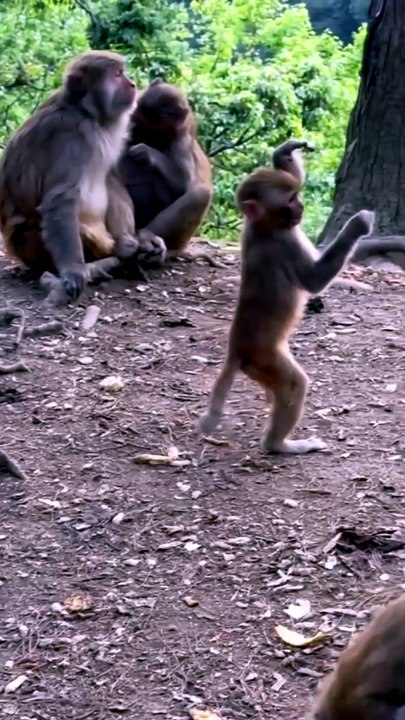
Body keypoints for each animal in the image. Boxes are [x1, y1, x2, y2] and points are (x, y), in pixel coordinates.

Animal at [0, 51, 166, 306]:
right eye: (117, 75)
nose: (132, 84)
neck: (87, 113)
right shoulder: (71, 136)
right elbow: (60, 200)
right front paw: (73, 271)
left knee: (109, 180)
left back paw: (132, 245)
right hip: (31, 246)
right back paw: (119, 253)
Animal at [118, 79, 214, 265]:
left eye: (149, 129)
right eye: (135, 120)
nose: (131, 131)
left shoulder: (181, 138)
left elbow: (183, 183)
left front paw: (146, 152)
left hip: (179, 239)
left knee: (200, 194)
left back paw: (147, 236)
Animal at [198, 139, 374, 454]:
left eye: (296, 195)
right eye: (290, 201)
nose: (301, 206)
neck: (263, 226)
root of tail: (236, 349)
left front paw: (284, 152)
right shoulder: (285, 243)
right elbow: (314, 281)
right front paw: (357, 224)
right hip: (264, 359)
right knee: (293, 385)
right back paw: (279, 445)